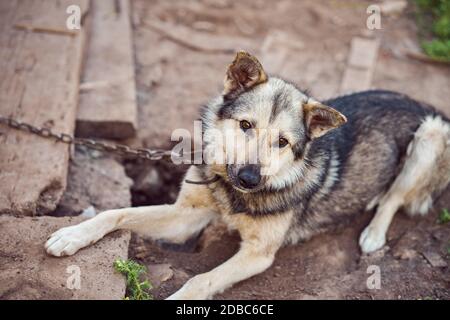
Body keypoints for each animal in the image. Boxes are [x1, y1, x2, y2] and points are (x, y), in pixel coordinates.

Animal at [44, 51, 450, 298]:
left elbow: (201, 278)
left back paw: (373, 232)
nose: (251, 177)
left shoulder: (259, 254)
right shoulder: (184, 218)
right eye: (245, 125)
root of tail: (419, 101)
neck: (233, 195)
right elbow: (117, 212)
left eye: (283, 142)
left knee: (394, 197)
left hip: (430, 134)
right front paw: (72, 235)